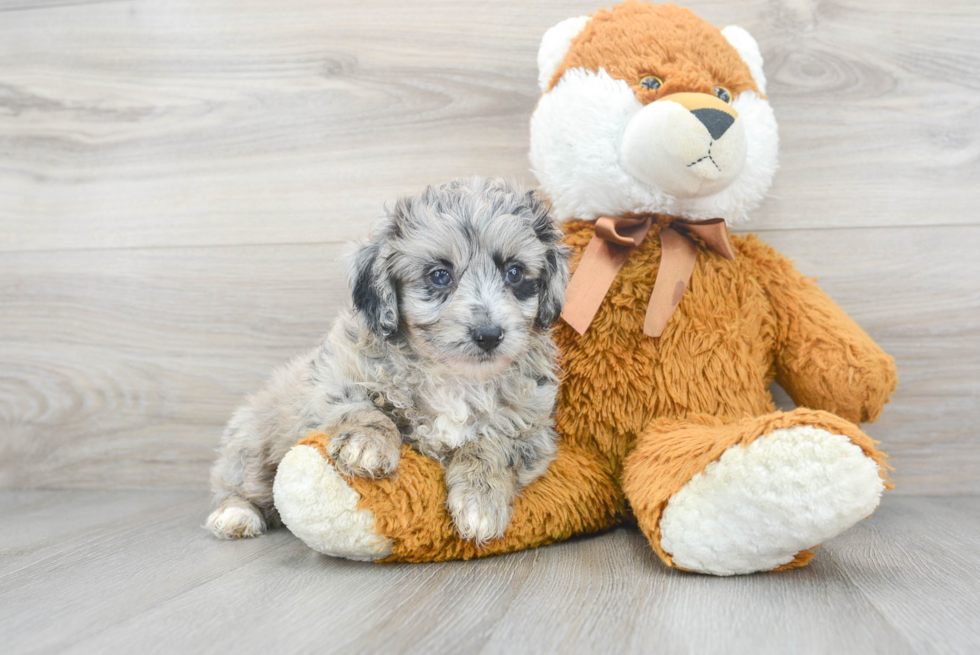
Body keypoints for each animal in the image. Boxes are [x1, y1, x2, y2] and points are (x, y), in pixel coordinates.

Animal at [211, 177, 572, 544]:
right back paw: (235, 515)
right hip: (252, 442)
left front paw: (481, 502)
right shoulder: (330, 382)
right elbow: (362, 408)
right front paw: (367, 444)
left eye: (514, 273)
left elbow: (493, 445)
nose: (489, 334)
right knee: (239, 484)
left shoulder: (531, 427)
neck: (456, 377)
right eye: (439, 276)